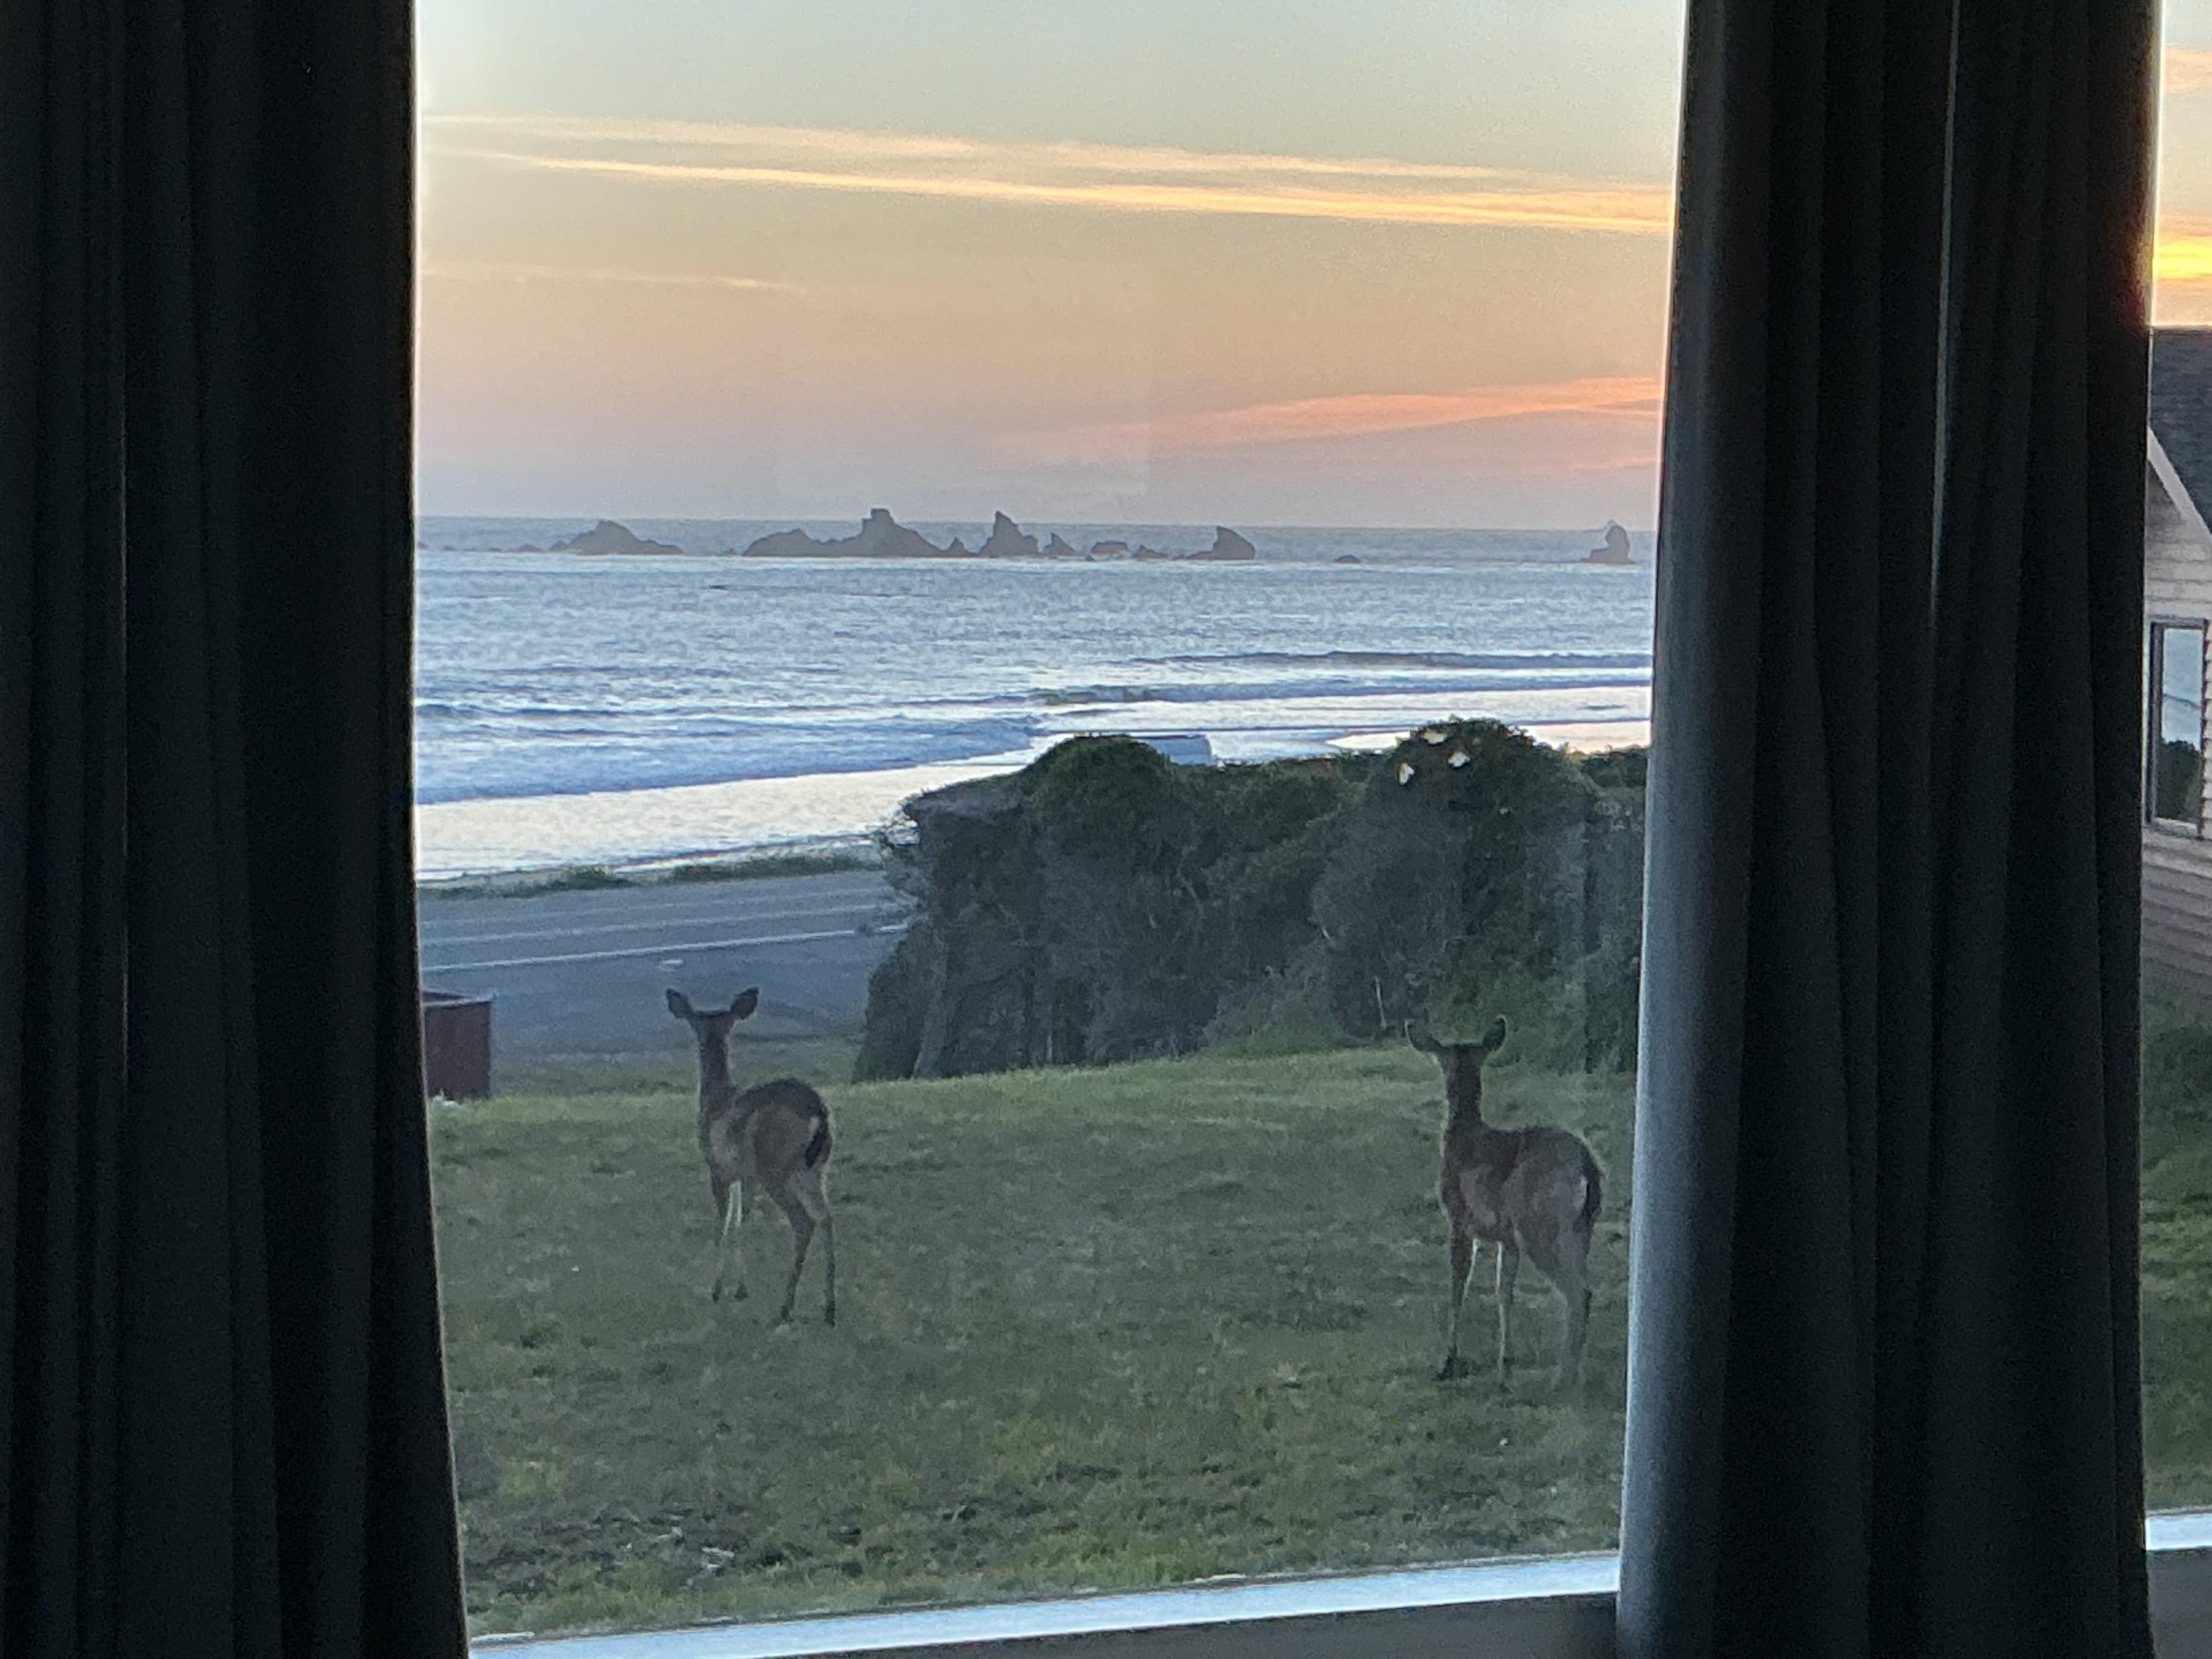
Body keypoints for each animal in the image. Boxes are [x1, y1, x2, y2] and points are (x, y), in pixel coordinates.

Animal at [667, 987, 836, 1326]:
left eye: (695, 1025)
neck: (716, 1102)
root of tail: (818, 1112)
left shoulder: (718, 1168)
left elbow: (722, 1225)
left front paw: (718, 1289)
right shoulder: (746, 1176)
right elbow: (740, 1221)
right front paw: (739, 1288)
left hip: (776, 1166)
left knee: (804, 1221)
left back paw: (786, 1307)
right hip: (813, 1169)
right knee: (826, 1218)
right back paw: (829, 1308)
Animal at [1407, 1013, 1601, 1386]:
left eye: (1442, 1061)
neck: (1462, 1136)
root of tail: (1586, 1165)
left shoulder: (1459, 1219)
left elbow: (1458, 1286)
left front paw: (1447, 1362)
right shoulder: (1506, 1238)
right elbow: (1504, 1291)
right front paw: (1505, 1361)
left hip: (1539, 1225)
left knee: (1578, 1293)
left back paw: (1562, 1377)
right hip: (1580, 1230)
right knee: (1585, 1288)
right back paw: (1576, 1373)